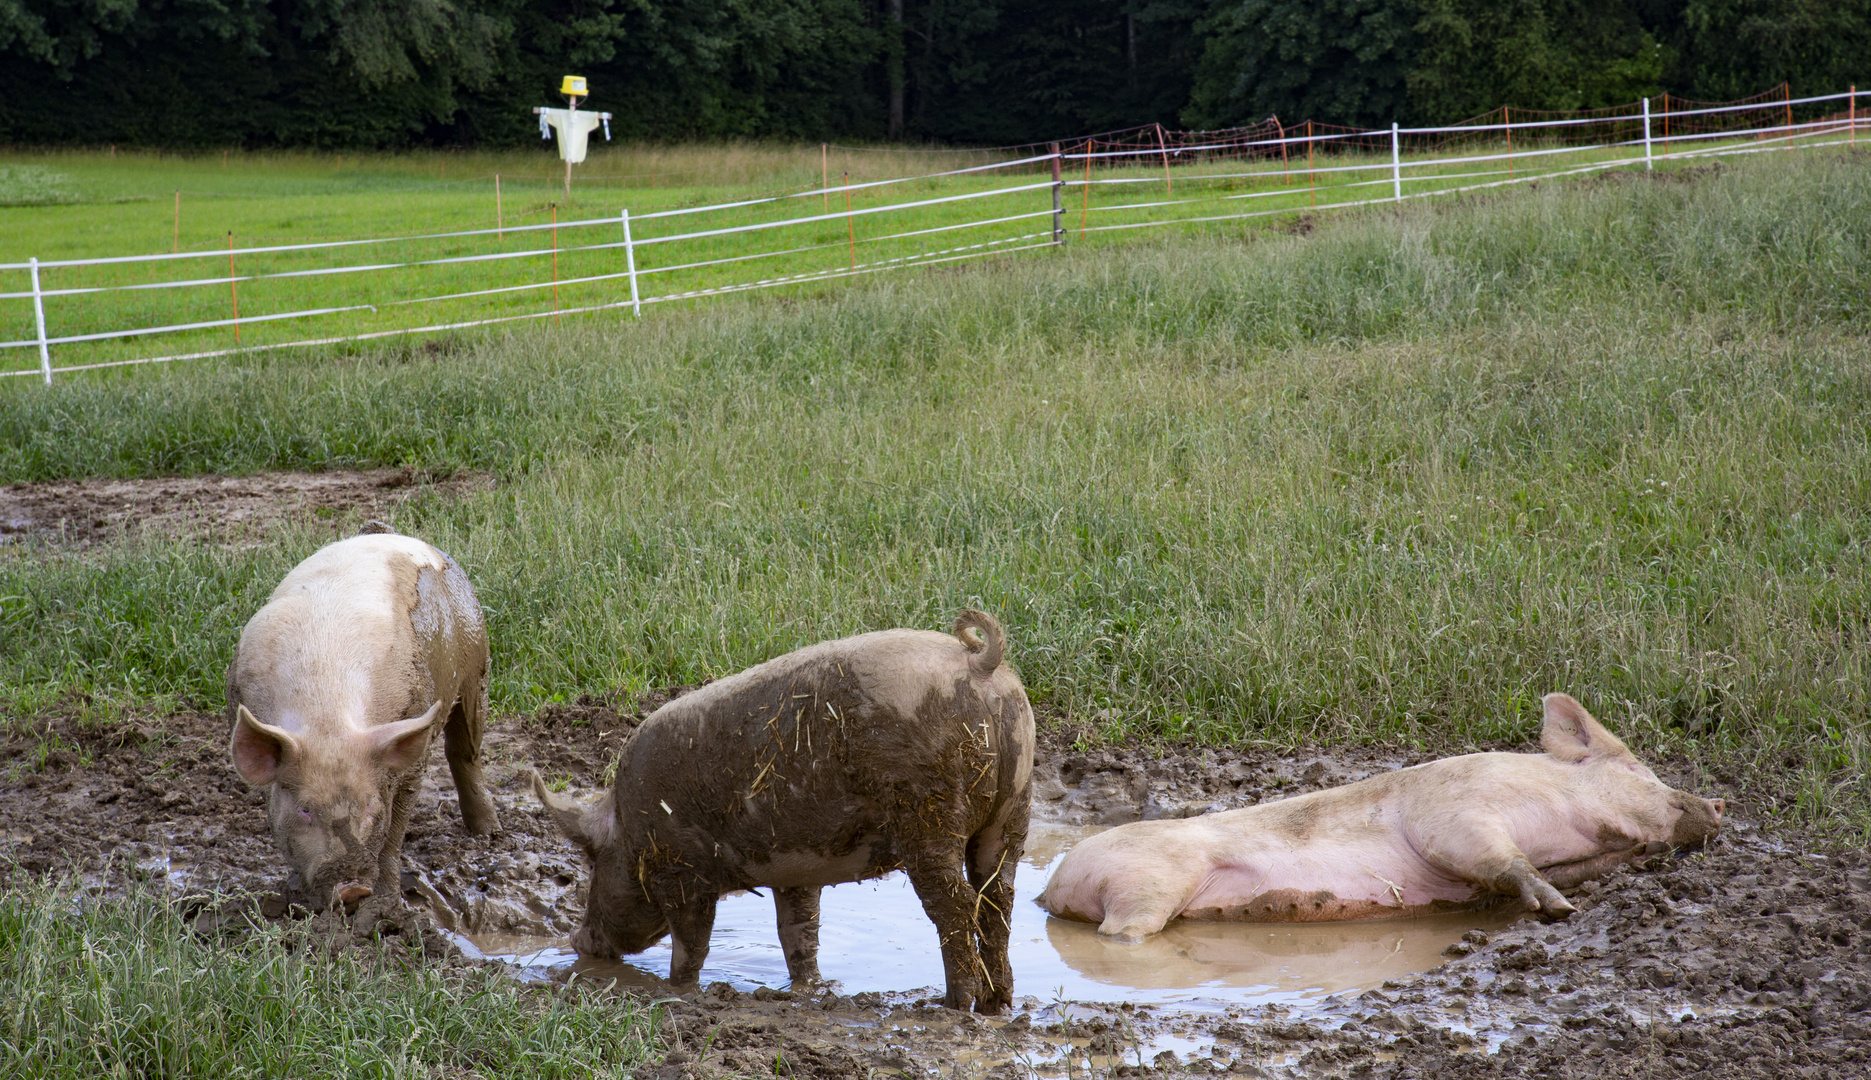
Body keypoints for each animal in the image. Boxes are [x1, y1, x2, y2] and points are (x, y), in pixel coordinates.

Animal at [225, 524, 497, 917]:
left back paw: (488, 833)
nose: (352, 889)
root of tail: (388, 533)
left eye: (369, 804)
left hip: (477, 660)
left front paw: (386, 903)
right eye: (306, 809)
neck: (327, 718)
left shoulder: (410, 746)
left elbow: (395, 828)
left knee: (466, 749)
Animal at [1040, 696, 1721, 939]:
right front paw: (1560, 909)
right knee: (1123, 932)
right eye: (1641, 772)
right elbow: (1502, 859)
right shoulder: (1453, 810)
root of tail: (1052, 887)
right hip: (1149, 879)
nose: (1718, 804)